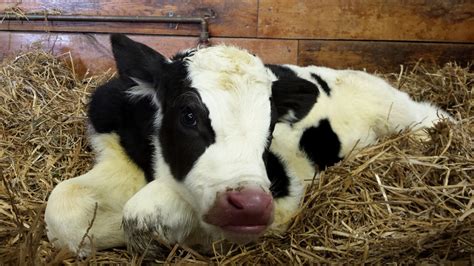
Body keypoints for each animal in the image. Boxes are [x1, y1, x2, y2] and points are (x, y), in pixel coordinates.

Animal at [44, 33, 452, 256]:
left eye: (270, 124)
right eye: (188, 115)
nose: (251, 205)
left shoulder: (285, 190)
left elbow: (143, 211)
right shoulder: (114, 149)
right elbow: (64, 206)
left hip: (397, 107)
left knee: (428, 115)